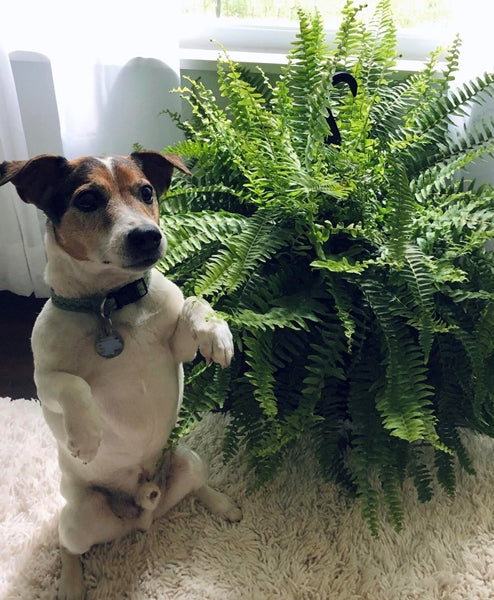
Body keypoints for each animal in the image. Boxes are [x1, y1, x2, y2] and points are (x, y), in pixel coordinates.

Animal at [0, 152, 242, 600]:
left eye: (146, 192)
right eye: (88, 199)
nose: (148, 236)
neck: (111, 304)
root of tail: (143, 512)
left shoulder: (176, 350)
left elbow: (195, 302)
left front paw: (217, 334)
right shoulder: (44, 381)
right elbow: (73, 384)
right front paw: (86, 436)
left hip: (189, 460)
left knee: (196, 487)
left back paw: (222, 504)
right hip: (79, 516)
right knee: (69, 549)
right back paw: (71, 585)